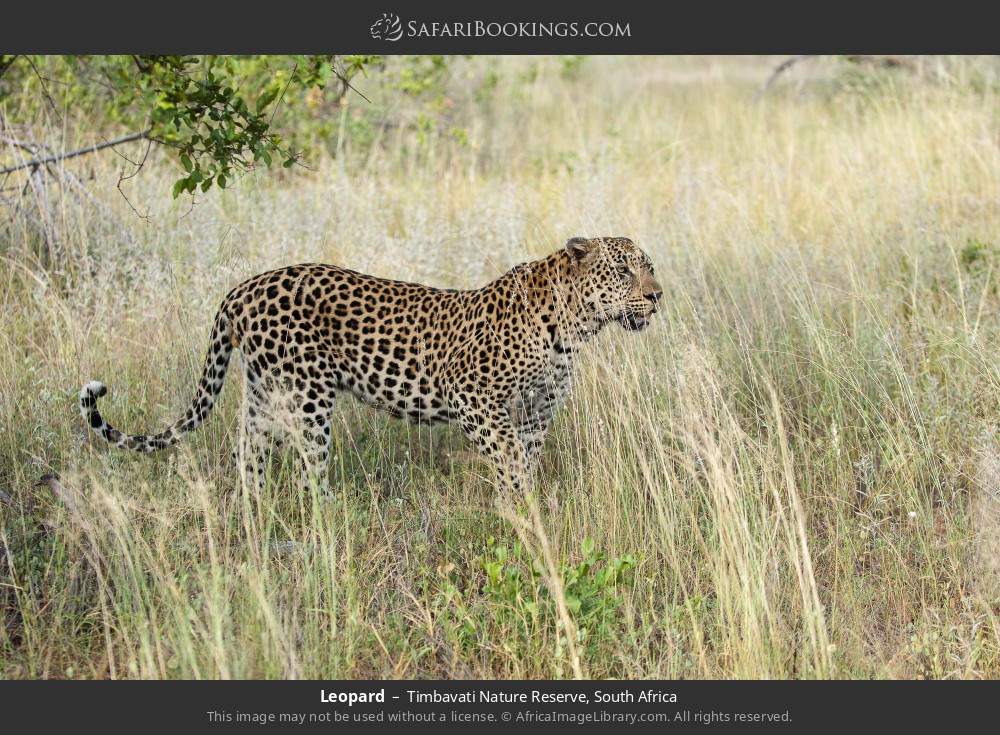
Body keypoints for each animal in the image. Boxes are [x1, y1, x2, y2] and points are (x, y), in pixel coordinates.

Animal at [79, 236, 662, 493]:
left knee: (248, 452)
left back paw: (253, 517)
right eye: (622, 270)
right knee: (308, 468)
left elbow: (526, 464)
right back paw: (323, 524)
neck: (575, 327)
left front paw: (527, 514)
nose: (657, 296)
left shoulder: (538, 412)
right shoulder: (477, 402)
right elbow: (511, 465)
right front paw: (523, 518)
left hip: (264, 391)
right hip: (307, 395)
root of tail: (243, 288)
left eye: (649, 266)